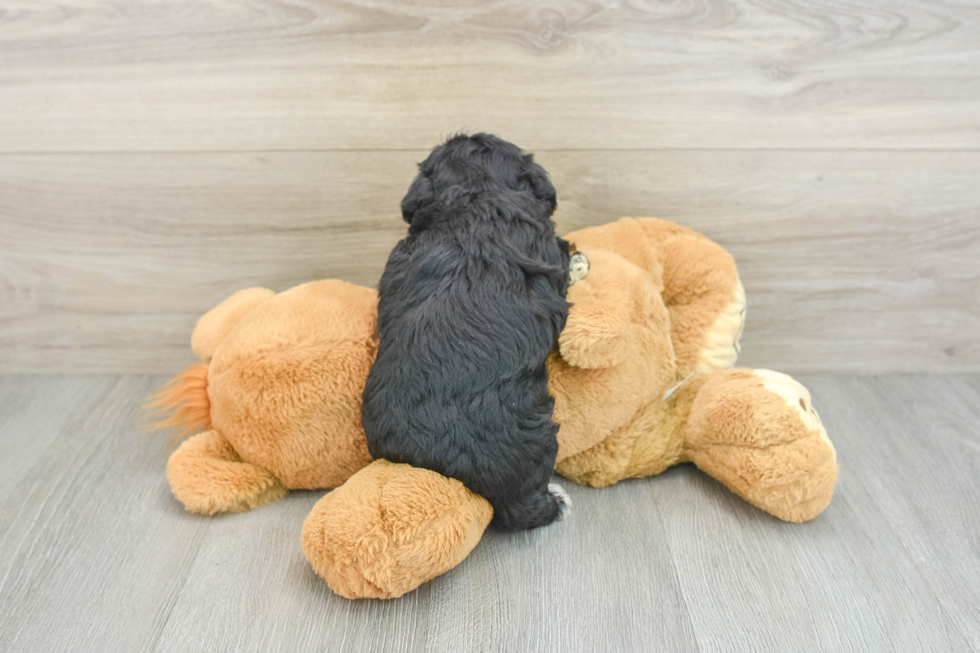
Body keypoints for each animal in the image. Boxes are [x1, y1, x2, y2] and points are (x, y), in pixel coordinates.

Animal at [362, 134, 576, 528]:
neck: (476, 197)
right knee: (525, 505)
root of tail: (445, 468)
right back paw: (557, 501)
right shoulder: (548, 247)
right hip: (534, 445)